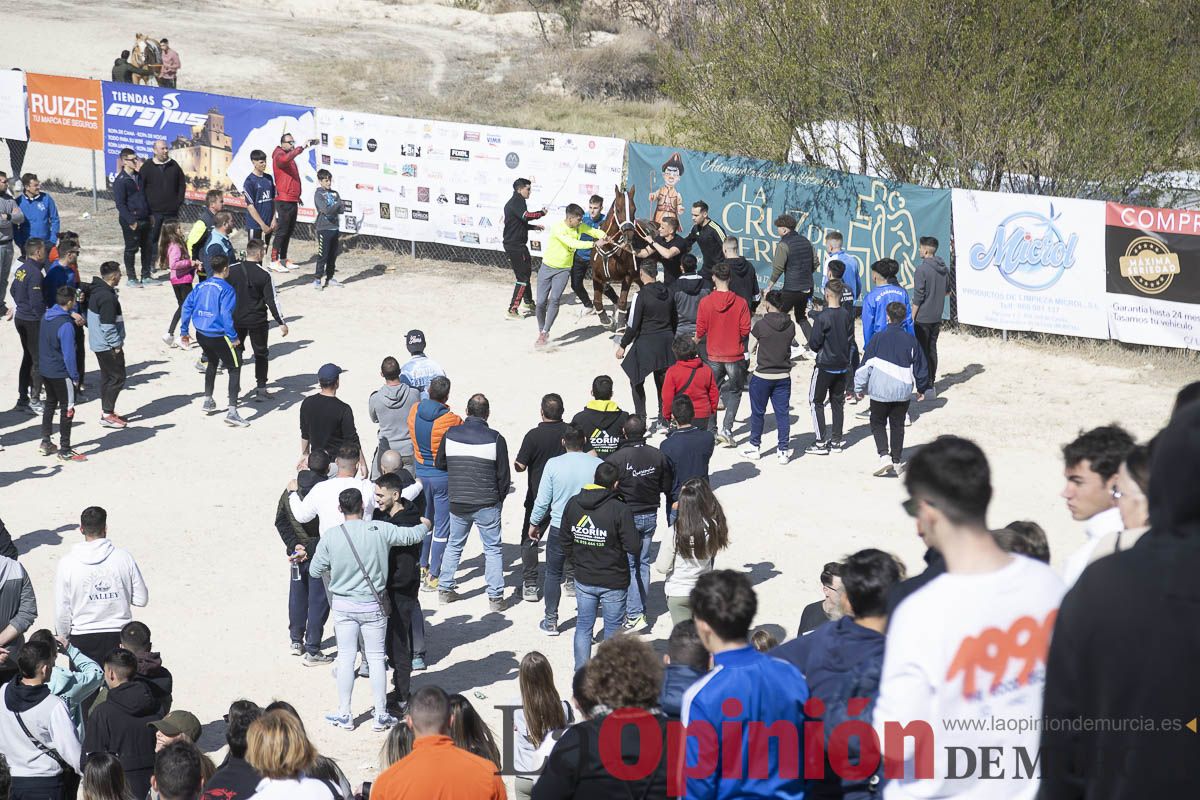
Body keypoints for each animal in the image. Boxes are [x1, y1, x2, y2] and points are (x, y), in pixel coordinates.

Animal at [588, 183, 652, 326]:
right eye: (618, 209)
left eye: (634, 210)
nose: (629, 235)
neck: (609, 247)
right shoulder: (596, 276)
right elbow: (597, 301)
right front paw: (607, 320)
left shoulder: (628, 276)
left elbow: (622, 302)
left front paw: (621, 325)